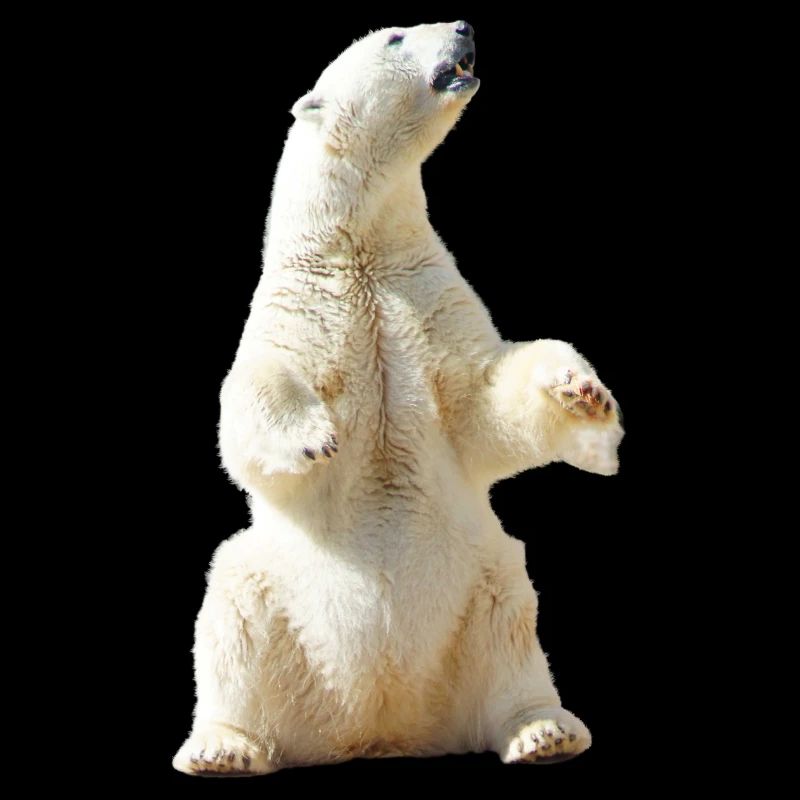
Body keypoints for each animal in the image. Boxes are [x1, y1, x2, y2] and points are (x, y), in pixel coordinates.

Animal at [173, 21, 623, 776]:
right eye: (395, 36)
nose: (464, 26)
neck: (360, 247)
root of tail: (382, 725)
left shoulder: (426, 296)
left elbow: (483, 399)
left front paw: (582, 393)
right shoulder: (303, 306)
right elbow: (254, 395)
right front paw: (312, 437)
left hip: (481, 589)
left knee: (512, 625)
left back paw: (543, 731)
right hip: (273, 595)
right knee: (231, 606)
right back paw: (223, 746)